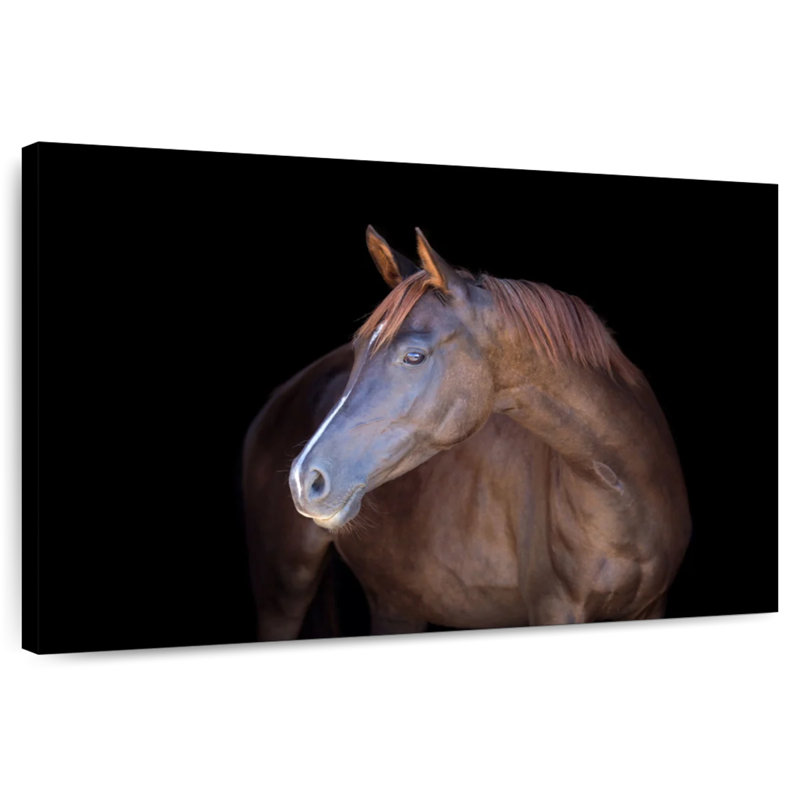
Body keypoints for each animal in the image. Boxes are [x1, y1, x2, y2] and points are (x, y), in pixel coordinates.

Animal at [243, 227, 691, 639]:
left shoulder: (651, 607)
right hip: (284, 593)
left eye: (414, 356)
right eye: (357, 350)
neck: (622, 496)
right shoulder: (555, 608)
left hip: (396, 604)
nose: (304, 480)